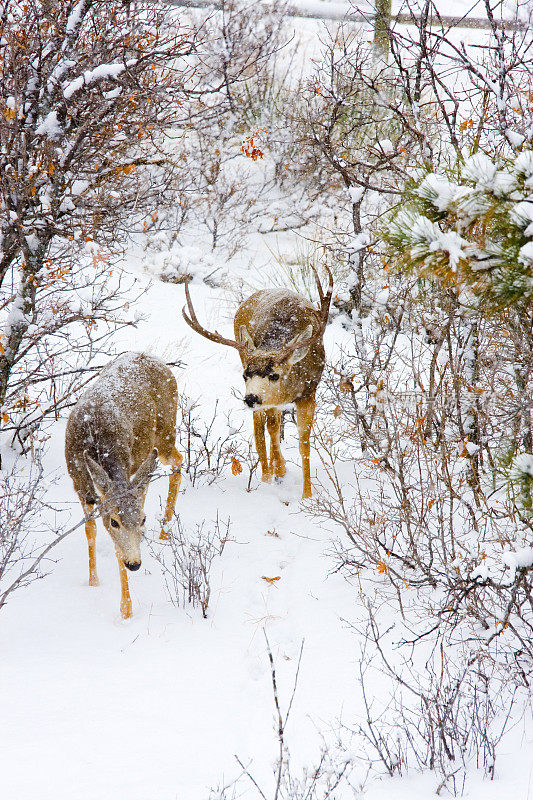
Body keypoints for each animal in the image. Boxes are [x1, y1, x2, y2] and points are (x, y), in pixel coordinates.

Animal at [64, 354, 183, 620]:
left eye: (143, 519)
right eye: (115, 521)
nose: (135, 564)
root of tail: (155, 359)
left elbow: (118, 549)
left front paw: (126, 611)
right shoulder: (80, 485)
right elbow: (90, 530)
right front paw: (93, 582)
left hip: (165, 431)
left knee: (178, 460)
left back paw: (165, 529)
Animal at [184, 266, 332, 496]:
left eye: (274, 375)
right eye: (244, 375)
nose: (250, 398)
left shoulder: (308, 392)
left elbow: (304, 442)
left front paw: (307, 494)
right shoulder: (270, 399)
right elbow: (272, 429)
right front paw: (280, 471)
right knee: (261, 427)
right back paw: (268, 475)